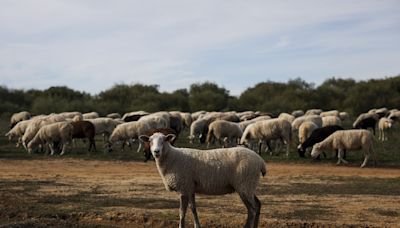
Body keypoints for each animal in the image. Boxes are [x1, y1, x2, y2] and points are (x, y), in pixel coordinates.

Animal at [139, 132, 268, 228]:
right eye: (150, 141)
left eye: (164, 140)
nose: (156, 151)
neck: (172, 158)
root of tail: (260, 161)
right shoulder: (190, 187)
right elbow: (193, 208)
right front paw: (197, 225)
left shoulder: (184, 186)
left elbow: (182, 212)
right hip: (249, 185)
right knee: (258, 205)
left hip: (244, 184)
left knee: (252, 210)